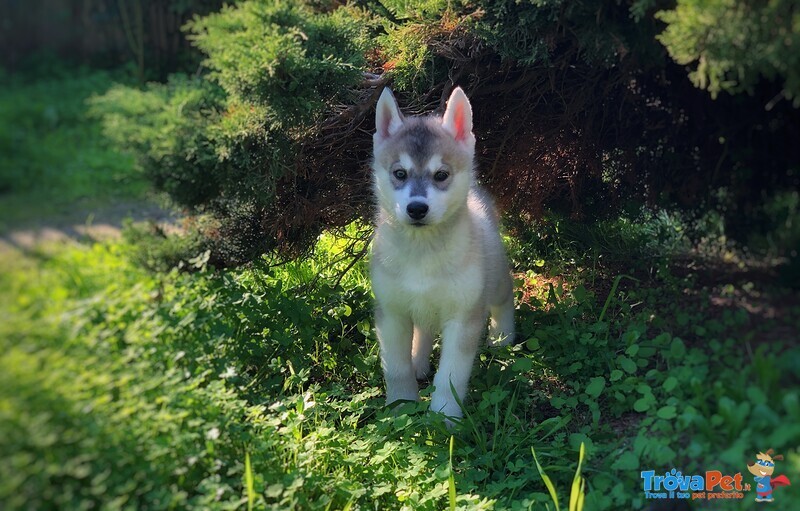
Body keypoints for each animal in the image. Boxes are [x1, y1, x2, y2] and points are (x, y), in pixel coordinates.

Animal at [372, 86, 516, 420]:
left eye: (441, 175)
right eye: (400, 173)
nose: (417, 208)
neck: (422, 251)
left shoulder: (464, 316)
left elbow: (451, 374)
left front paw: (444, 416)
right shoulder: (392, 314)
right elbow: (396, 368)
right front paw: (401, 407)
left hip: (495, 280)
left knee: (505, 297)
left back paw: (502, 337)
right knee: (423, 331)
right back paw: (418, 363)